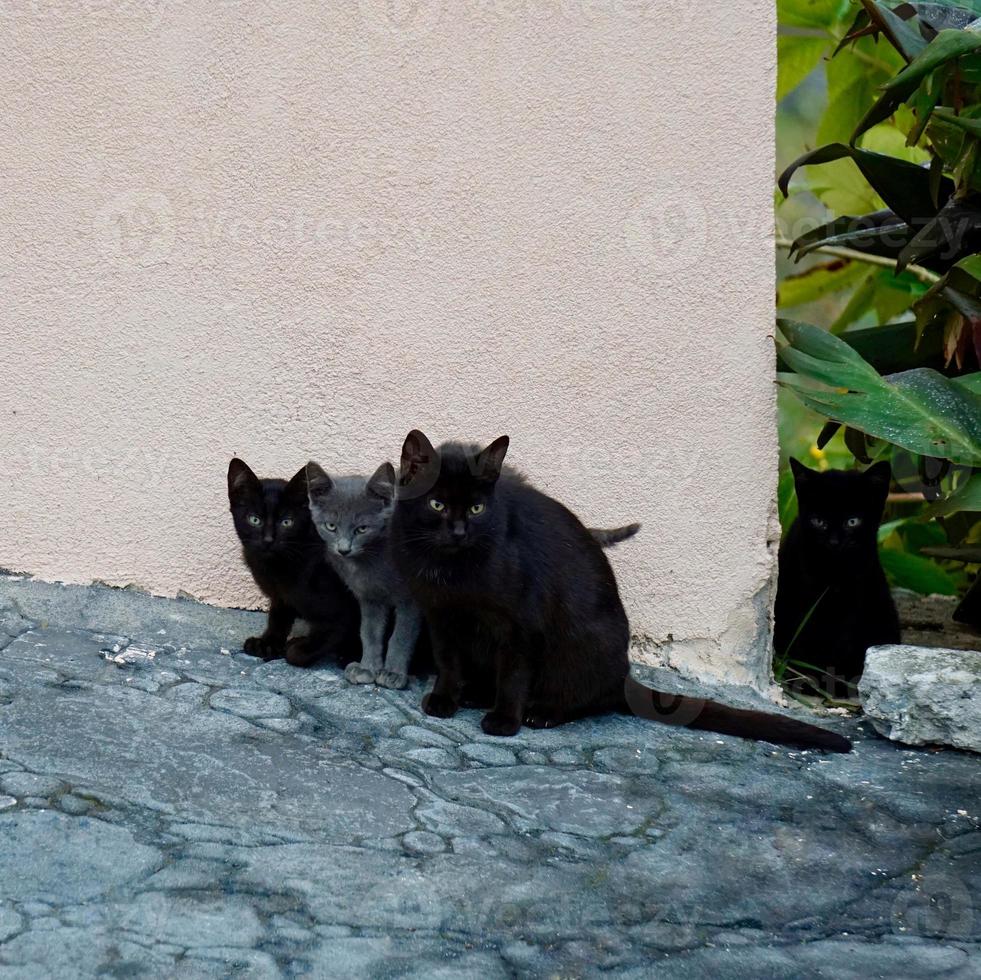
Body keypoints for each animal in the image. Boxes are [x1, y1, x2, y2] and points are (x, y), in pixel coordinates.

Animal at [228, 458, 362, 668]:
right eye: (254, 520)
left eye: (287, 522)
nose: (268, 540)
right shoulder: (281, 596)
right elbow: (278, 616)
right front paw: (269, 642)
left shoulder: (344, 611)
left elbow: (323, 637)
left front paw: (296, 646)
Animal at [304, 462, 416, 684]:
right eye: (331, 526)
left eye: (362, 529)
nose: (343, 550)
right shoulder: (370, 597)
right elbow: (369, 632)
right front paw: (367, 668)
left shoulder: (411, 599)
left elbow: (401, 635)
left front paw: (393, 673)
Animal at [386, 426, 848, 752]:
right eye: (437, 505)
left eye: (478, 508)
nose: (459, 531)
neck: (453, 571)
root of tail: (625, 674)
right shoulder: (441, 617)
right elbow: (449, 663)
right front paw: (444, 699)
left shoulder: (521, 627)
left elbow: (515, 675)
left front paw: (505, 721)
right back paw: (478, 694)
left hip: (583, 643)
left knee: (588, 696)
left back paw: (542, 712)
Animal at [772, 460, 904, 696]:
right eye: (818, 521)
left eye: (852, 521)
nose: (834, 542)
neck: (833, 573)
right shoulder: (800, 596)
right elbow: (803, 634)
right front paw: (807, 679)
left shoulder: (855, 599)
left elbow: (843, 641)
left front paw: (836, 683)